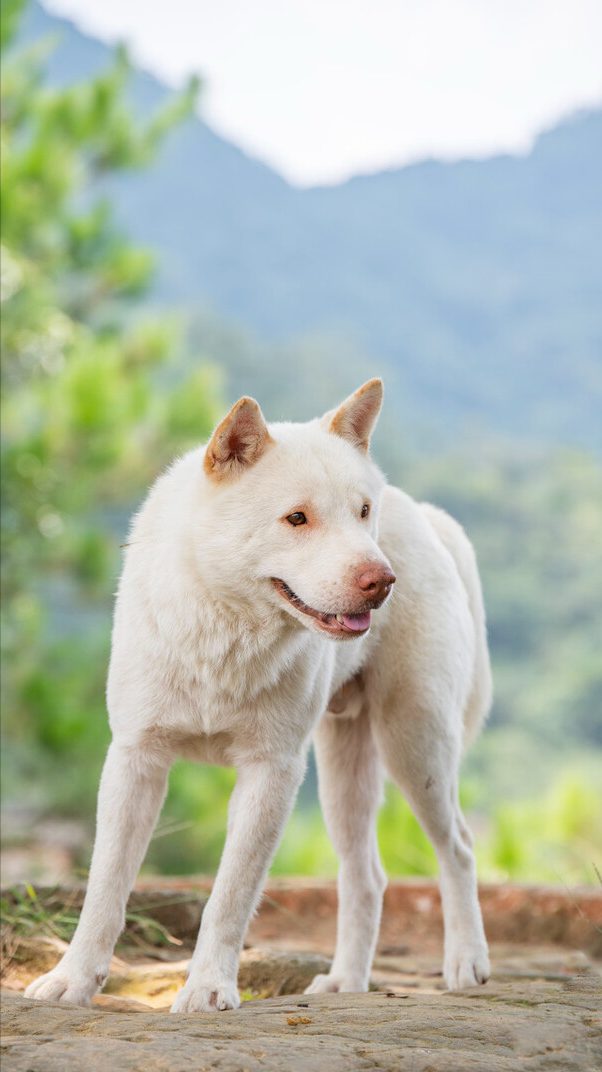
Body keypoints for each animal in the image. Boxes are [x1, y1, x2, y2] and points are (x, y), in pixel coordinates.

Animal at [25, 381, 490, 1007]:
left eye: (362, 512)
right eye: (296, 518)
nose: (382, 582)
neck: (225, 631)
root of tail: (425, 516)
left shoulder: (272, 770)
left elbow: (230, 895)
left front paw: (208, 989)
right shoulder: (135, 758)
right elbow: (105, 885)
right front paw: (72, 981)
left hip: (414, 746)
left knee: (458, 846)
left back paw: (466, 962)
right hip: (345, 769)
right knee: (366, 874)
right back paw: (344, 983)